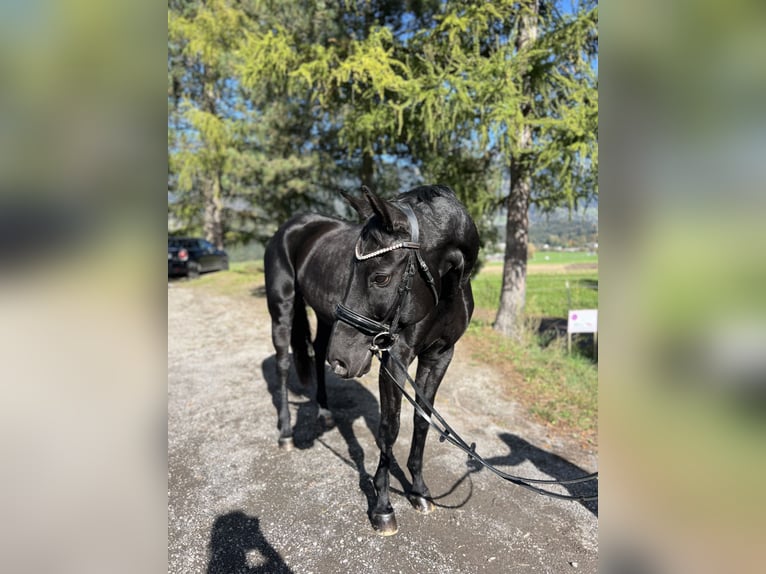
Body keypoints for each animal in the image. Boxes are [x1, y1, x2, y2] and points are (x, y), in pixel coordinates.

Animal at [266, 183, 480, 536]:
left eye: (380, 278)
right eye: (352, 269)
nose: (343, 361)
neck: (444, 290)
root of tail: (294, 225)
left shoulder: (440, 355)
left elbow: (422, 418)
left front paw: (419, 491)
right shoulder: (394, 359)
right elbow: (389, 427)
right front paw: (383, 507)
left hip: (326, 319)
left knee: (318, 353)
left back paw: (324, 412)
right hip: (282, 308)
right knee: (284, 364)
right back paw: (285, 434)